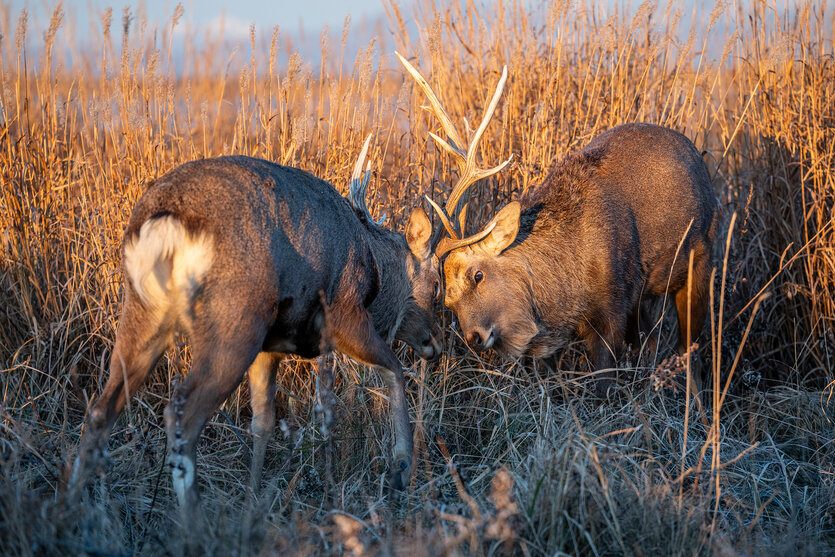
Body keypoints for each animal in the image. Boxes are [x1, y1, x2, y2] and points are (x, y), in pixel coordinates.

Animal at [71, 135, 444, 520]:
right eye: (437, 285)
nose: (435, 343)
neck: (372, 265)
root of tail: (166, 222)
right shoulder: (343, 313)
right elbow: (393, 369)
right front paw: (401, 469)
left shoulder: (271, 346)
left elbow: (262, 421)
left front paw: (253, 500)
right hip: (234, 319)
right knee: (180, 416)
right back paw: (195, 523)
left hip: (143, 310)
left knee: (100, 410)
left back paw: (72, 510)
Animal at [398, 51, 720, 390]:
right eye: (447, 300)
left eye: (478, 275)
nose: (474, 337)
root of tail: (695, 152)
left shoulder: (613, 304)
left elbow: (604, 381)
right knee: (655, 341)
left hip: (701, 258)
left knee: (691, 349)